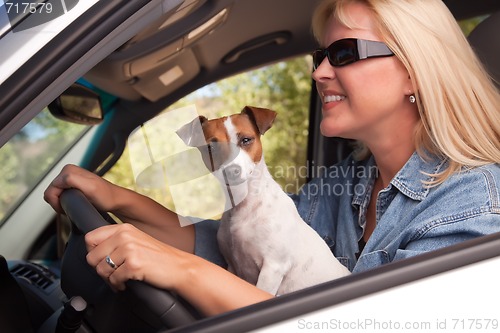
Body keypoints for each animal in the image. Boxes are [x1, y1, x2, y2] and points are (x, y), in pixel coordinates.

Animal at [178, 105, 350, 294]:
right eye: (211, 147)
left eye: (246, 140)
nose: (231, 171)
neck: (246, 205)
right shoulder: (232, 265)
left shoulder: (272, 268)